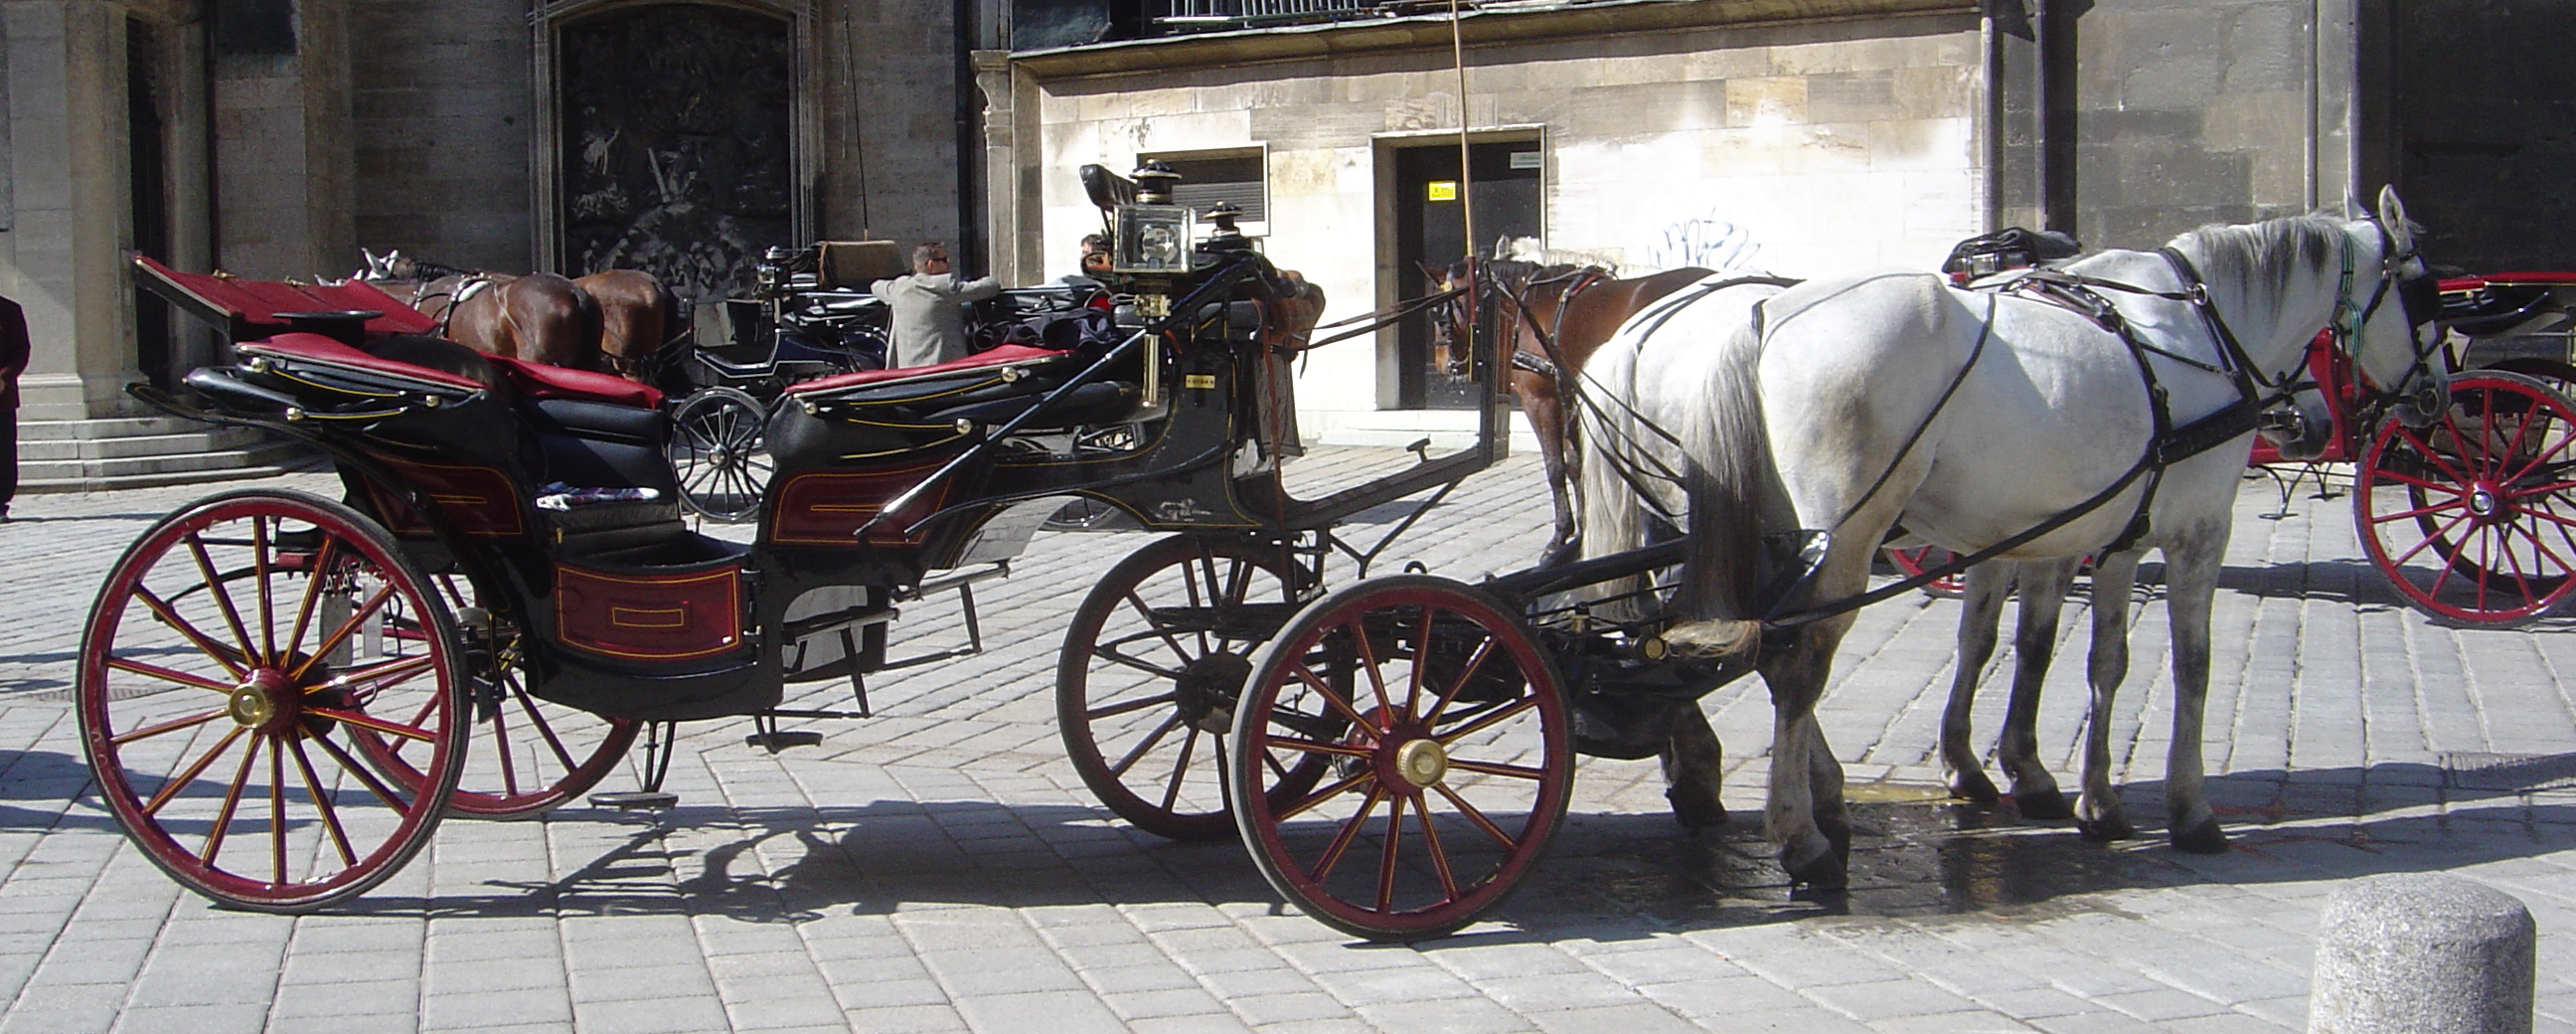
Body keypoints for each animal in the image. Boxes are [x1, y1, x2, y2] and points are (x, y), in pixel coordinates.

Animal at [1638, 189, 2442, 881]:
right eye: (2429, 294)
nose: (2434, 398)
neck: (2198, 332)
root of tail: (1764, 312)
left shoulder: (2104, 539)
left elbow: (2088, 658)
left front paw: (2089, 798)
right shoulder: (2197, 533)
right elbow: (2190, 666)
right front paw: (2189, 809)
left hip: (1768, 538)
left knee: (1755, 654)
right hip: (1843, 539)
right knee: (1798, 668)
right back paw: (1803, 838)